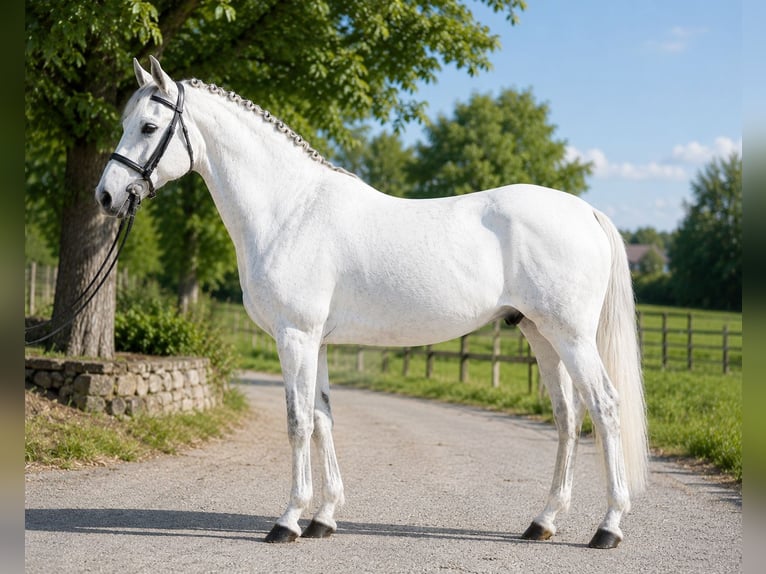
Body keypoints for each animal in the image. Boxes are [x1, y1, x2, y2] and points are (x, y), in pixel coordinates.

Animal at [96, 56, 648, 548]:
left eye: (149, 126)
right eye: (124, 122)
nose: (106, 195)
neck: (290, 209)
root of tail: (586, 211)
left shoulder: (294, 335)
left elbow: (297, 422)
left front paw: (288, 521)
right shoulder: (315, 341)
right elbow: (322, 418)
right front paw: (323, 519)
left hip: (571, 335)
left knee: (604, 405)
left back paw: (608, 527)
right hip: (540, 333)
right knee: (567, 416)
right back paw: (543, 522)